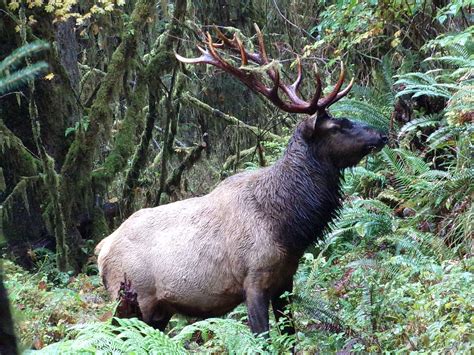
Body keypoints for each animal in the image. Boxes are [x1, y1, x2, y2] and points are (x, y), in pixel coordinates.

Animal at [95, 24, 386, 336]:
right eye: (338, 125)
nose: (382, 133)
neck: (287, 228)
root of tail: (101, 251)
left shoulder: (285, 280)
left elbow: (291, 335)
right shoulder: (253, 279)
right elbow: (263, 337)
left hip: (158, 311)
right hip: (133, 299)